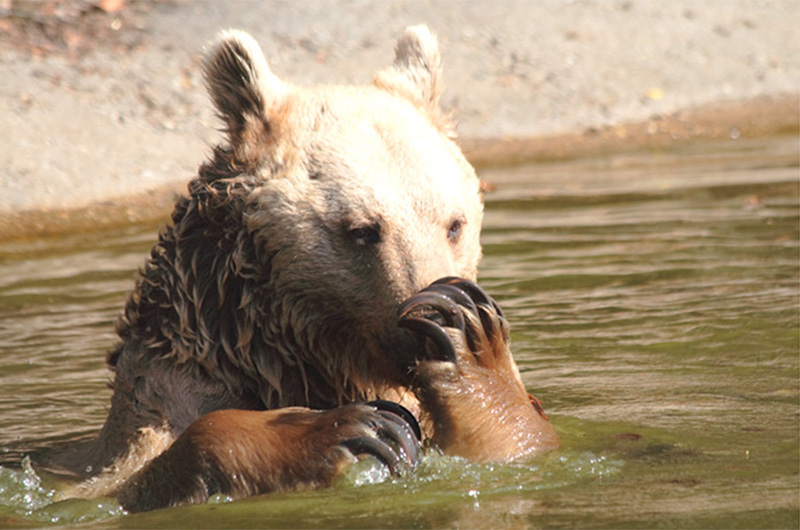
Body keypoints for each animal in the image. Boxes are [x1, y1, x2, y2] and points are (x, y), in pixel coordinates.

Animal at [29, 25, 556, 512]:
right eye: (362, 229)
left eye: (454, 224)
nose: (422, 321)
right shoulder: (162, 396)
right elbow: (123, 479)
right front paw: (347, 427)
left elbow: (527, 441)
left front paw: (470, 338)